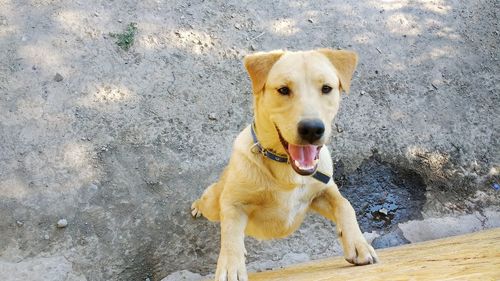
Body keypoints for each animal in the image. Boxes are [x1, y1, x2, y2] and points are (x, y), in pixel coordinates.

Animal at [192, 48, 378, 280]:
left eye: (326, 88)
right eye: (283, 89)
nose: (312, 129)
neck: (288, 170)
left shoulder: (321, 192)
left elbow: (346, 204)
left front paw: (359, 244)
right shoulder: (234, 203)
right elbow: (230, 236)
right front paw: (231, 266)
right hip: (213, 202)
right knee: (208, 202)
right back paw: (196, 207)